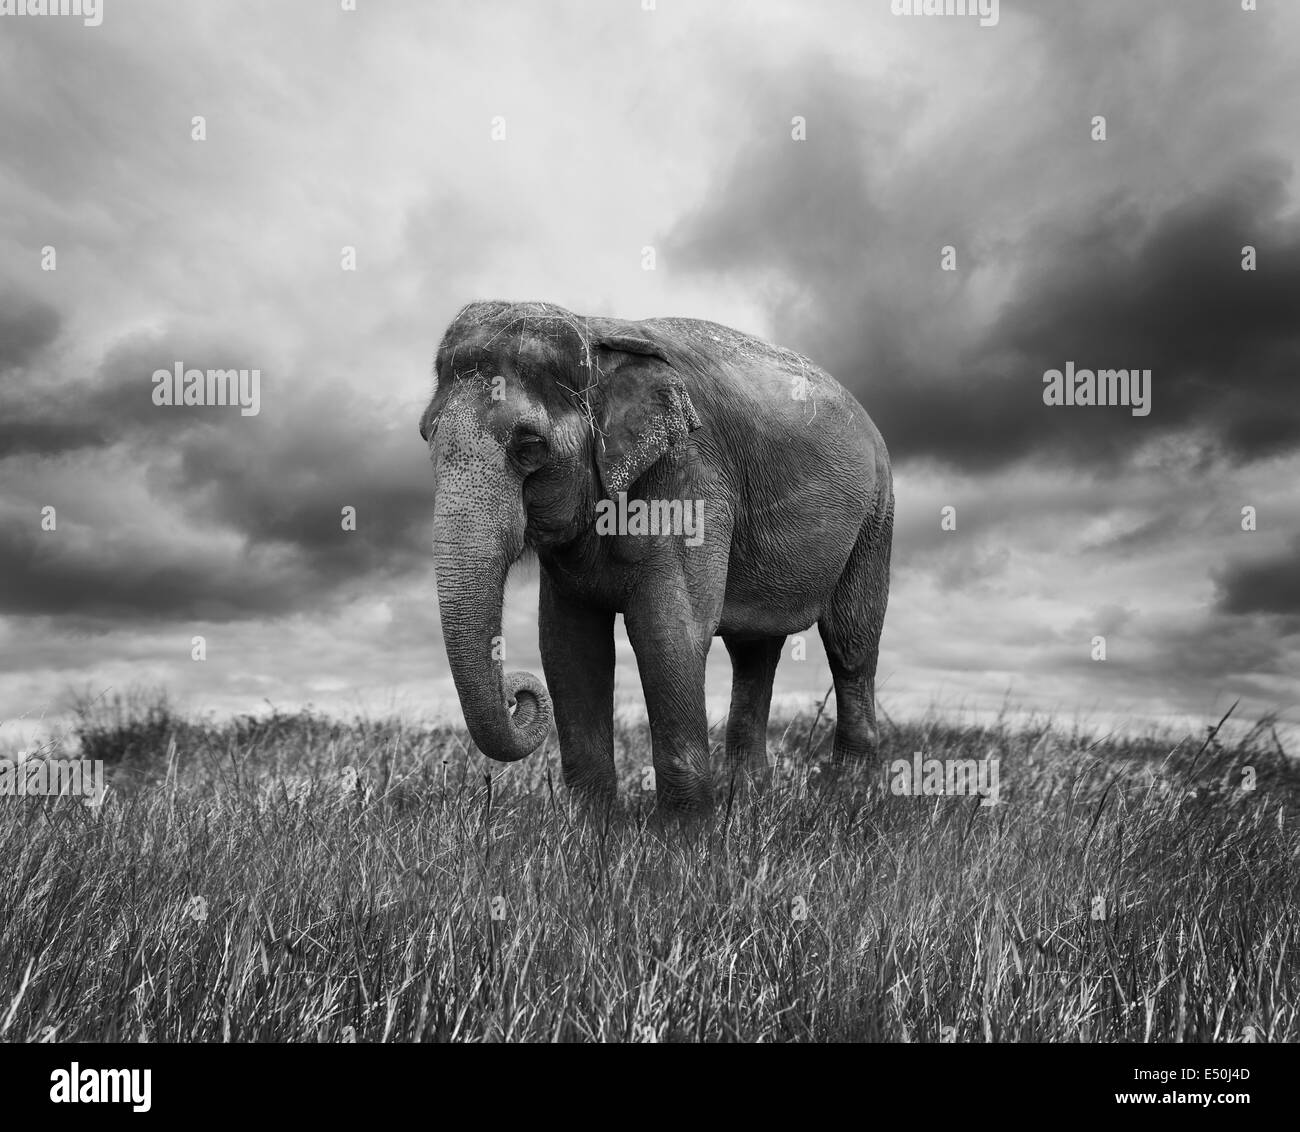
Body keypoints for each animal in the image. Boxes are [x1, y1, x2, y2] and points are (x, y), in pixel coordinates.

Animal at [420, 300, 893, 813]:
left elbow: (667, 631)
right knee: (754, 652)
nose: (517, 693)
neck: (594, 332)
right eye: (427, 437)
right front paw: (591, 825)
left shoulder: (692, 475)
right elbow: (569, 644)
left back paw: (849, 792)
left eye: (529, 446)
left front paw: (684, 833)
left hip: (875, 516)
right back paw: (749, 796)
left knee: (850, 641)